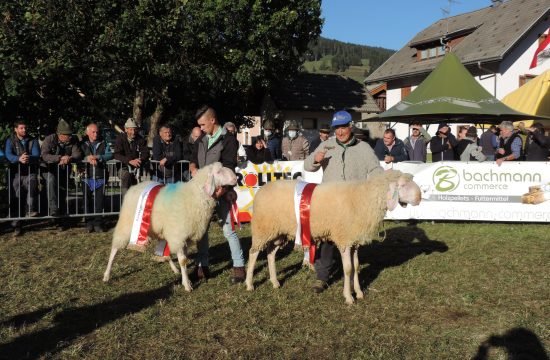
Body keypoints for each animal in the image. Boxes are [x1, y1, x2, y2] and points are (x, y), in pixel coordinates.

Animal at [103, 162, 237, 292]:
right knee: (115, 248)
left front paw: (185, 279)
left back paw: (175, 269)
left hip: (159, 230)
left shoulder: (183, 236)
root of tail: (135, 186)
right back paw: (106, 275)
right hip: (127, 225)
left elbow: (183, 259)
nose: (236, 178)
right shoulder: (178, 236)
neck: (195, 196)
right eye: (218, 172)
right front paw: (187, 285)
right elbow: (183, 260)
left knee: (164, 253)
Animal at [246, 171, 422, 304]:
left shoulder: (354, 240)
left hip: (278, 232)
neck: (364, 198)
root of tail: (262, 189)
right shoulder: (344, 239)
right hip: (262, 228)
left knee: (270, 253)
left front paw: (359, 293)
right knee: (253, 253)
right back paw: (249, 284)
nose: (420, 197)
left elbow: (356, 266)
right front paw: (349, 297)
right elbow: (348, 269)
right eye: (403, 185)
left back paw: (275, 282)